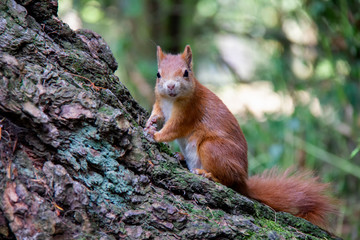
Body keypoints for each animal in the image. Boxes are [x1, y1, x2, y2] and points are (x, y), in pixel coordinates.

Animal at [143, 45, 334, 229]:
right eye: (158, 74)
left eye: (186, 73)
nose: (170, 86)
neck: (171, 101)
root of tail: (244, 180)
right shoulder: (160, 103)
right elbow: (157, 113)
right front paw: (150, 123)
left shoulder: (189, 111)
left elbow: (173, 130)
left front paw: (155, 134)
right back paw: (181, 156)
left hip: (211, 148)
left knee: (228, 181)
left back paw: (208, 175)